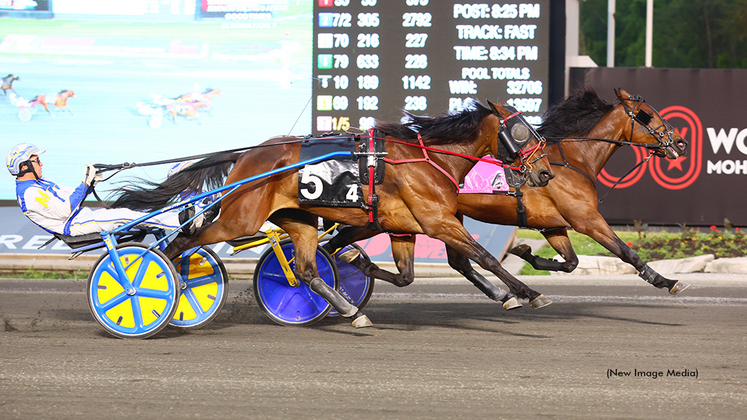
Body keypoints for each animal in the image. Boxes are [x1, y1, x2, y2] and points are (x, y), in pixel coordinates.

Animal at [111, 99, 556, 328]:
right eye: (522, 132)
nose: (545, 172)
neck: (426, 159)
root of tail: (248, 155)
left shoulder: (404, 227)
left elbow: (408, 275)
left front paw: (358, 264)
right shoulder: (438, 222)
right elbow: (483, 257)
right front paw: (529, 293)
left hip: (300, 220)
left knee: (306, 270)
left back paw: (349, 309)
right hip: (241, 217)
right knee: (183, 242)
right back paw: (155, 281)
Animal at [324, 88, 692, 296]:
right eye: (647, 115)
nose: (679, 142)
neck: (571, 161)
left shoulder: (553, 224)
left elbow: (571, 262)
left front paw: (527, 253)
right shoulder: (587, 219)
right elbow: (626, 252)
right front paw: (666, 281)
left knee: (457, 261)